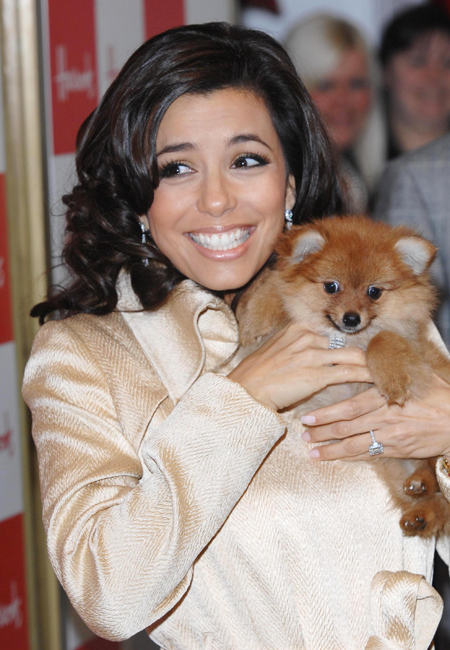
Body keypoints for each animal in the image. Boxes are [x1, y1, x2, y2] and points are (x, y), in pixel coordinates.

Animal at [236, 215, 450, 536]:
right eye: (331, 287)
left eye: (374, 292)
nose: (351, 318)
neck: (349, 339)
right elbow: (275, 284)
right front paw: (256, 317)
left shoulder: (414, 347)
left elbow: (383, 338)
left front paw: (392, 377)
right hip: (395, 464)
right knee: (429, 493)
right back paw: (419, 505)